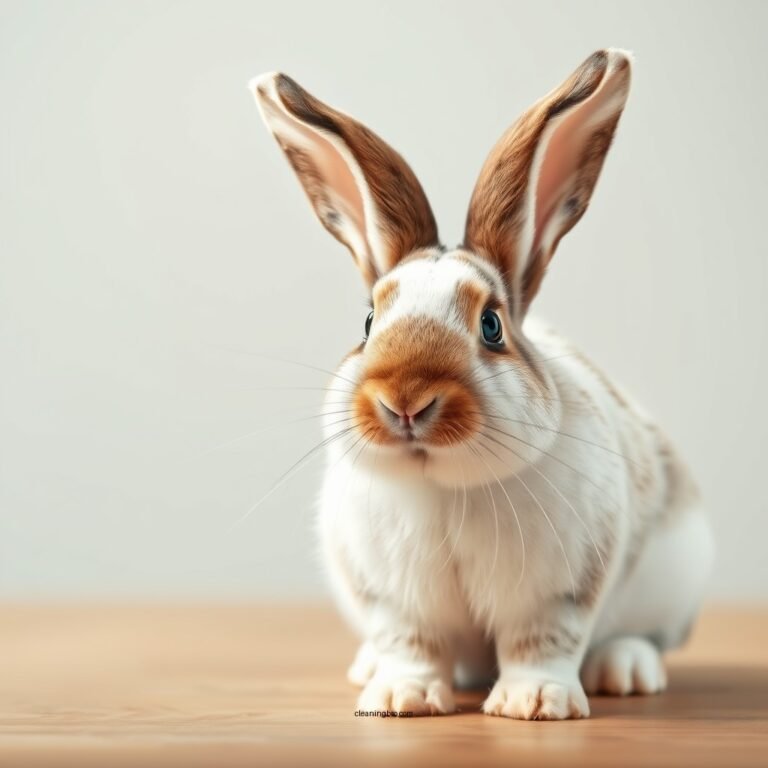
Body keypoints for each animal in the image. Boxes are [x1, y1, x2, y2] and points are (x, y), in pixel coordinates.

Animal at [250, 48, 713, 720]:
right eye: (368, 322)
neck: (442, 487)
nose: (404, 399)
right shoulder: (395, 601)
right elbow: (411, 645)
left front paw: (534, 704)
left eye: (491, 325)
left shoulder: (554, 593)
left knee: (644, 636)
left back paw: (624, 670)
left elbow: (539, 644)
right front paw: (400, 700)